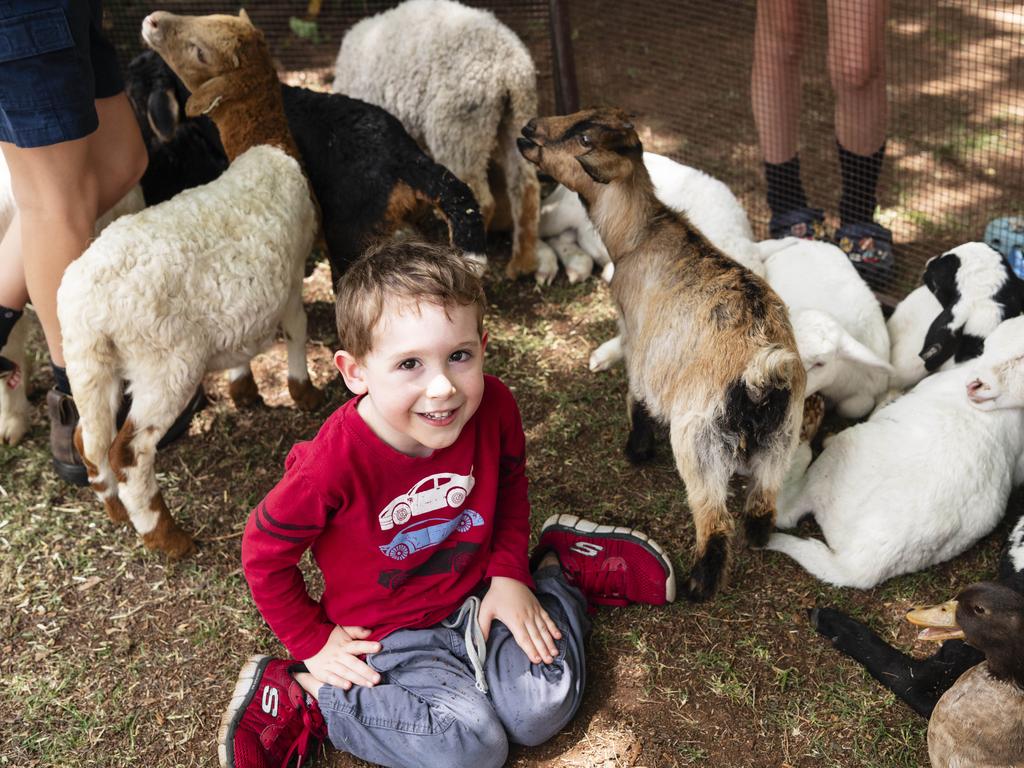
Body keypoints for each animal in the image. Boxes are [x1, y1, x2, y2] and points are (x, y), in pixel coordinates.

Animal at [58, 12, 319, 561]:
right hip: (166, 364)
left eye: (202, 49)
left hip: (87, 361)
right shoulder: (290, 277)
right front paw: (303, 392)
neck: (267, 147)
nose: (152, 20)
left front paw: (244, 389)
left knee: (90, 440)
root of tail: (90, 305)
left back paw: (117, 514)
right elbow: (297, 329)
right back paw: (166, 537)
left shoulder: (250, 292)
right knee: (130, 451)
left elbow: (246, 339)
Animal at [335, 0, 544, 282]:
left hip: (457, 131)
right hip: (515, 118)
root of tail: (508, 67)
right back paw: (522, 264)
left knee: (478, 200)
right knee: (526, 186)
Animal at [520, 108, 806, 602]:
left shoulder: (638, 338)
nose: (527, 130)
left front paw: (635, 450)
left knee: (715, 522)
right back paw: (757, 538)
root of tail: (761, 371)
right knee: (762, 506)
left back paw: (697, 585)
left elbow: (635, 393)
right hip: (781, 440)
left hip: (699, 440)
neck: (640, 234)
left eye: (584, 138)